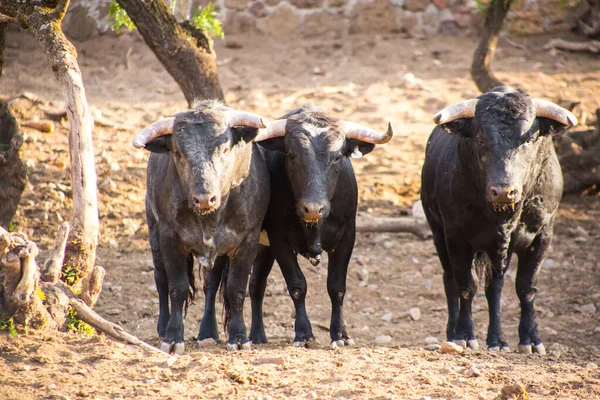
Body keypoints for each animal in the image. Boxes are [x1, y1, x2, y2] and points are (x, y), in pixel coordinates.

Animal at [134, 100, 272, 354]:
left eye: (225, 150)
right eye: (179, 153)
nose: (205, 198)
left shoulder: (248, 240)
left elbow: (236, 289)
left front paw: (239, 337)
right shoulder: (170, 237)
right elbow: (176, 287)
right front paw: (173, 337)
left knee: (212, 282)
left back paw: (208, 331)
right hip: (153, 230)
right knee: (161, 277)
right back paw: (163, 326)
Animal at [241, 104, 396, 348]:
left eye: (337, 157)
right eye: (292, 155)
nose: (313, 208)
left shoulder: (347, 238)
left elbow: (337, 287)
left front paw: (341, 334)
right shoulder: (279, 240)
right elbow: (297, 285)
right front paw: (304, 334)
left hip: (263, 247)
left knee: (257, 283)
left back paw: (258, 335)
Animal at [420, 86, 576, 354]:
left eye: (530, 139)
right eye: (481, 139)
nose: (503, 191)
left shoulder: (542, 236)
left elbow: (526, 287)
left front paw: (530, 339)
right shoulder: (456, 238)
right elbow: (466, 286)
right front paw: (465, 335)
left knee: (494, 287)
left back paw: (497, 340)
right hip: (438, 232)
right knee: (450, 279)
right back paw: (453, 333)